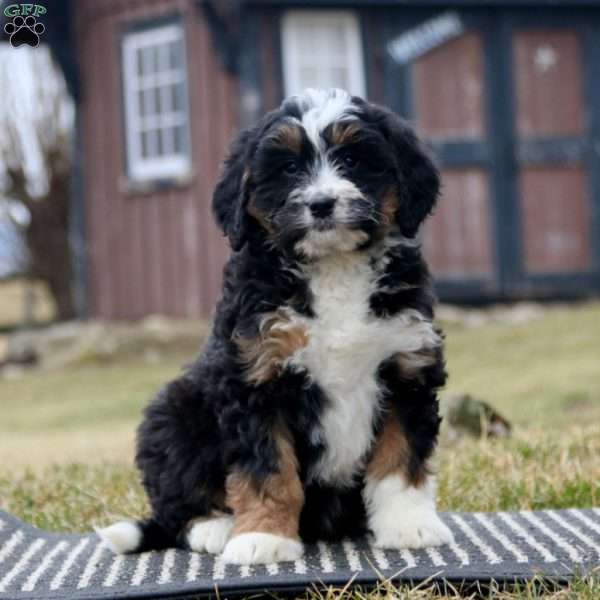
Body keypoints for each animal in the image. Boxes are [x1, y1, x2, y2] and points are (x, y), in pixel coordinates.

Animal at [99, 88, 454, 564]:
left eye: (353, 160)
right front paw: (262, 537)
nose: (321, 204)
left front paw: (408, 525)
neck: (333, 268)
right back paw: (216, 527)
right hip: (173, 413)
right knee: (177, 506)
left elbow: (402, 458)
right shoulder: (257, 377)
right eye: (288, 168)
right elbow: (268, 470)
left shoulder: (406, 366)